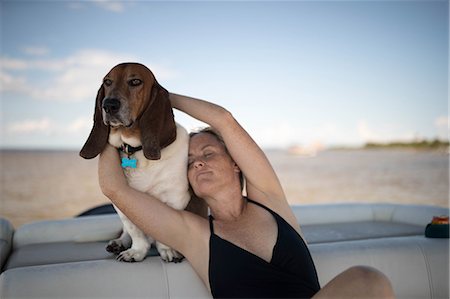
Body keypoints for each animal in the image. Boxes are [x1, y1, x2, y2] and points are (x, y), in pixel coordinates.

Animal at [79, 62, 200, 262]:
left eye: (135, 81)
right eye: (107, 82)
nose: (108, 105)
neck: (136, 150)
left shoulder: (175, 198)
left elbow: (166, 231)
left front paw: (168, 250)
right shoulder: (122, 202)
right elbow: (134, 231)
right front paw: (136, 251)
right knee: (126, 233)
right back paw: (119, 242)